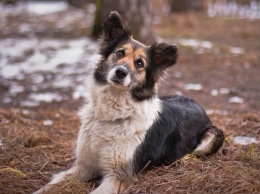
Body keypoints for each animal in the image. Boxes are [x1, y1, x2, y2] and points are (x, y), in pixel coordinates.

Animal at [34, 11, 225, 193]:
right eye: (119, 53)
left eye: (139, 63)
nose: (120, 72)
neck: (111, 114)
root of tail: (198, 105)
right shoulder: (83, 166)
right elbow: (49, 186)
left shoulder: (118, 178)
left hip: (212, 137)